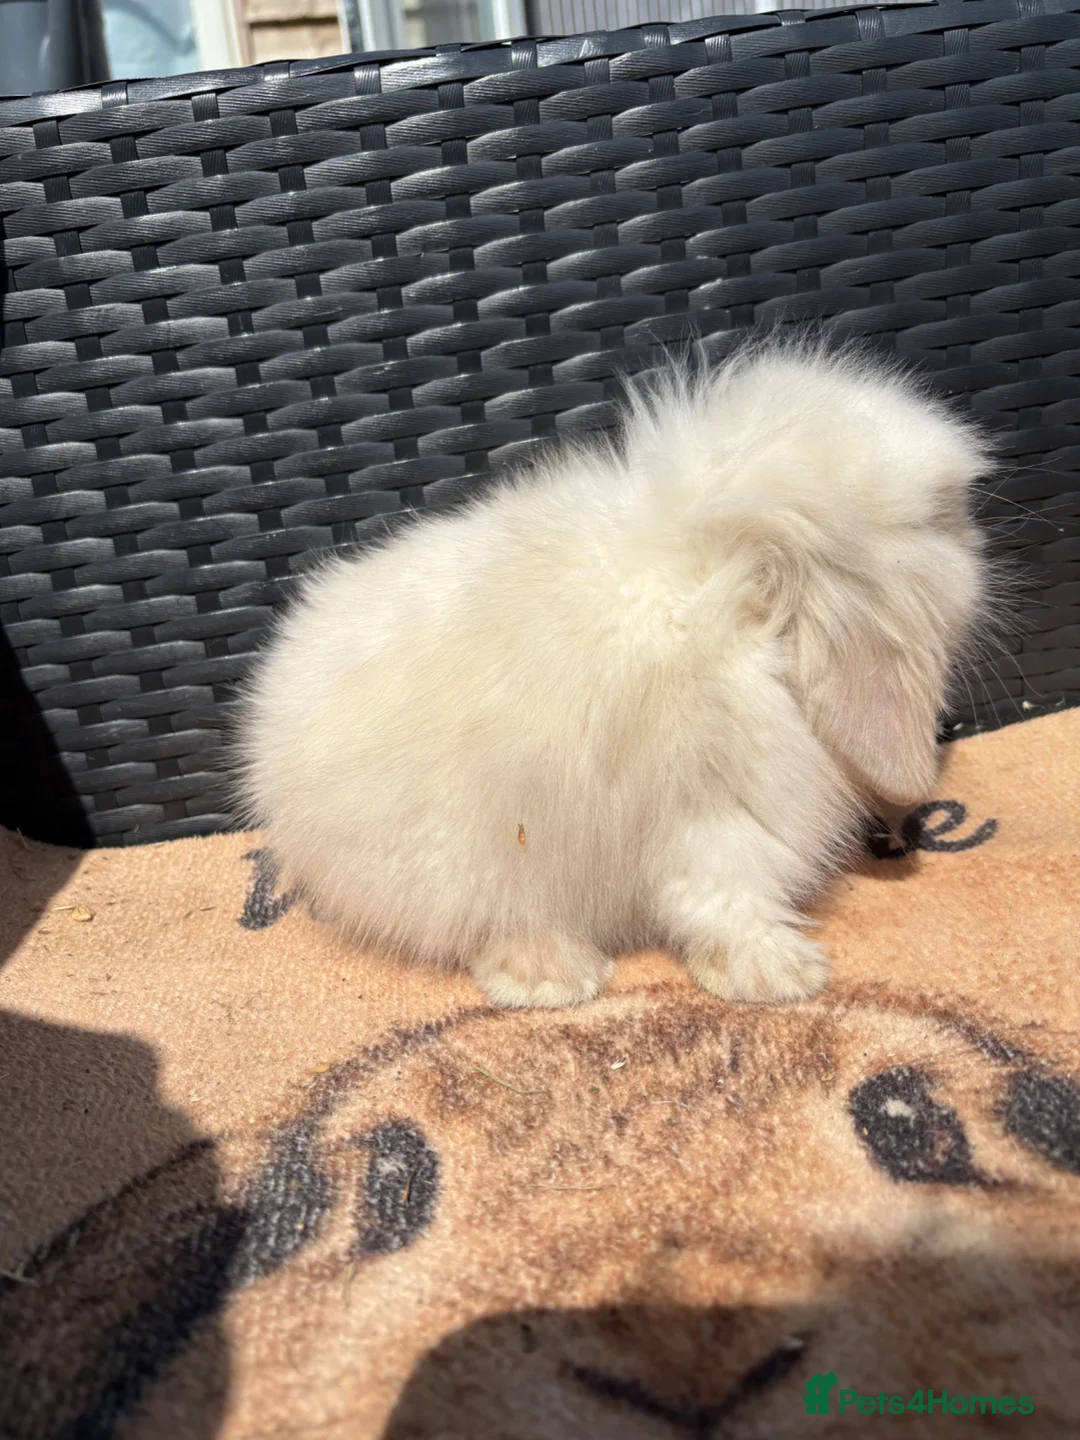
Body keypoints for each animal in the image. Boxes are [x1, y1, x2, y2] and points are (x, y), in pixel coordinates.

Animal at [236, 334, 996, 1010]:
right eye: (938, 522)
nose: (979, 545)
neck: (719, 583)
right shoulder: (719, 805)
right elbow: (725, 896)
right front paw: (783, 975)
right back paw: (557, 981)